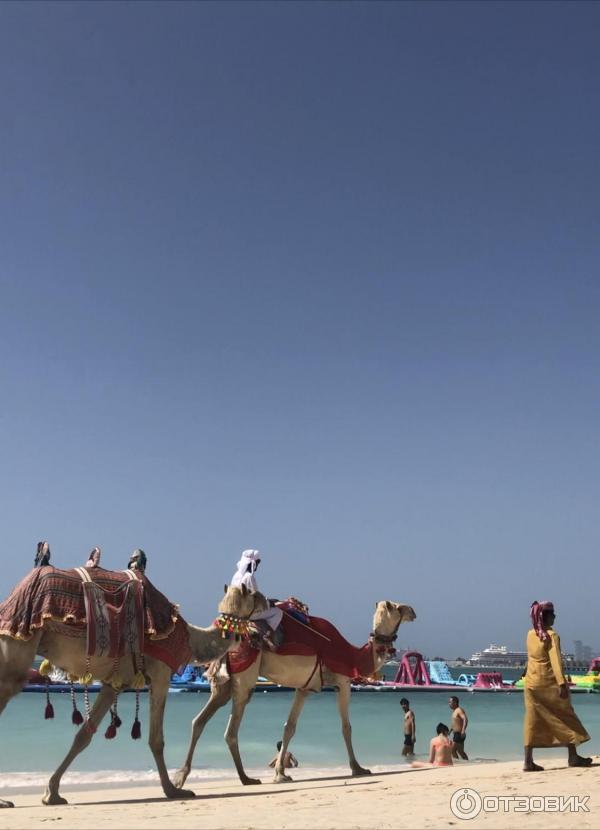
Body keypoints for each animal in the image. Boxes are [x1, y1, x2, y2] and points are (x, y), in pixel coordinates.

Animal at [0, 576, 253, 808]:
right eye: (255, 595)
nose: (266, 606)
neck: (191, 639)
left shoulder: (114, 684)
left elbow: (83, 736)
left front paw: (51, 793)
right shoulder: (161, 674)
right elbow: (156, 739)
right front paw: (173, 790)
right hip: (17, 648)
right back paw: (4, 801)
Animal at [173, 600, 418, 788]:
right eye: (397, 607)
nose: (413, 611)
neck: (354, 657)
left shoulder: (304, 688)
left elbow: (289, 727)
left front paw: (280, 774)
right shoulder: (343, 682)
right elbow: (346, 727)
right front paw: (358, 768)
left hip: (223, 685)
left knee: (198, 721)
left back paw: (181, 777)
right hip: (245, 678)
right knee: (231, 730)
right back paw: (246, 778)